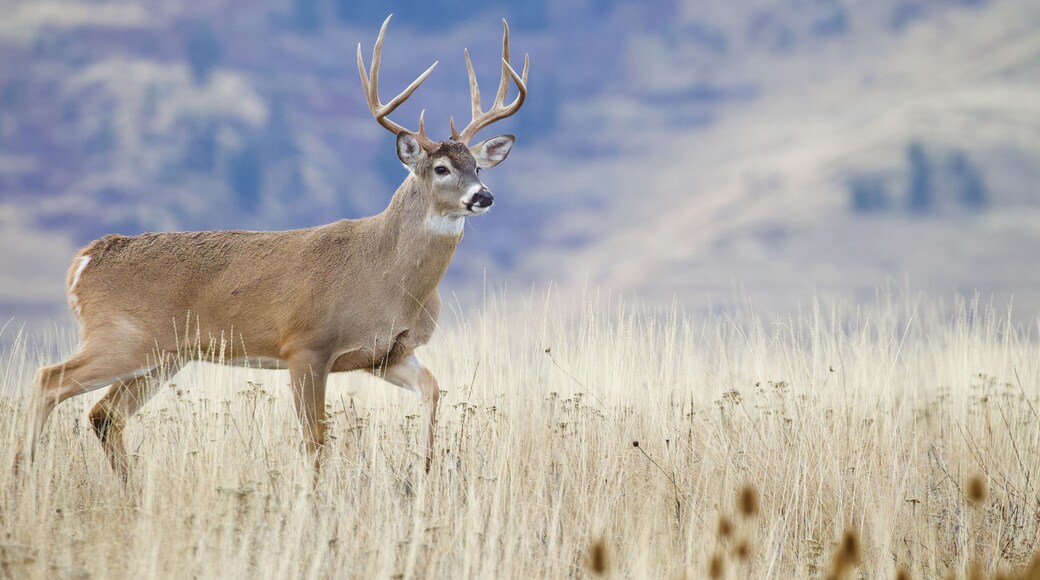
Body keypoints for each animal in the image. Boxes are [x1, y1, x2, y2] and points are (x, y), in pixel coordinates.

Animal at [22, 15, 528, 480]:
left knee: (104, 414)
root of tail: (85, 261)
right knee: (49, 380)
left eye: (478, 167)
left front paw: (424, 469)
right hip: (121, 337)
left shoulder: (387, 355)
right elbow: (315, 439)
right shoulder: (305, 345)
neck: (388, 277)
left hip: (162, 355)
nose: (484, 196)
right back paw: (23, 475)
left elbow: (433, 390)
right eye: (442, 168)